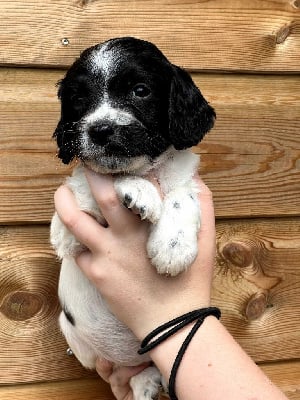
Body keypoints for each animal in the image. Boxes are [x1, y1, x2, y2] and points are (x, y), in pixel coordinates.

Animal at [51, 37, 216, 400]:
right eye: (79, 99)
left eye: (140, 90)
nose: (100, 130)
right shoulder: (67, 231)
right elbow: (89, 184)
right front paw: (137, 189)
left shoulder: (188, 179)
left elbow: (182, 195)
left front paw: (172, 246)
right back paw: (143, 384)